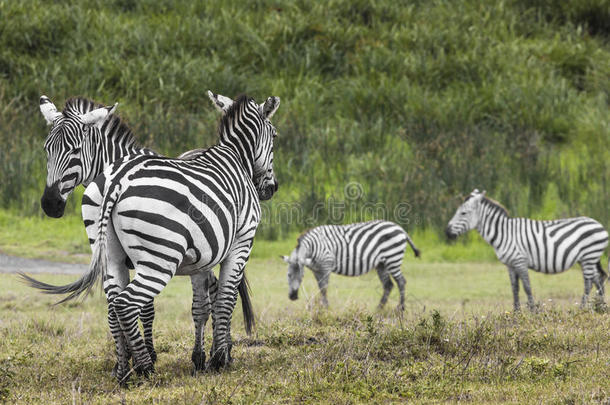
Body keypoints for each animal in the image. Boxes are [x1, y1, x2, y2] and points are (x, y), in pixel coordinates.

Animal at [23, 93, 280, 384]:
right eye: (47, 149)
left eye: (75, 150)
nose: (50, 204)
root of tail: (117, 180)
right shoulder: (241, 240)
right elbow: (220, 299)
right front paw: (157, 359)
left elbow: (163, 307)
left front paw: (147, 356)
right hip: (166, 257)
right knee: (130, 304)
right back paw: (149, 366)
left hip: (145, 256)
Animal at [280, 219, 418, 308]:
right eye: (288, 275)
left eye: (301, 276)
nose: (293, 297)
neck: (314, 247)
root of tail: (401, 229)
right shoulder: (316, 270)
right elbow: (320, 288)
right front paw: (322, 307)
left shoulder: (326, 266)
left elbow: (324, 288)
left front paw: (326, 308)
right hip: (382, 264)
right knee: (388, 285)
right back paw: (378, 309)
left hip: (393, 258)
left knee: (401, 282)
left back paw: (400, 308)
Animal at [442, 189, 608, 310]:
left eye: (463, 213)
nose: (447, 232)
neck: (504, 233)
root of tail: (600, 225)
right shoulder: (510, 265)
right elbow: (515, 289)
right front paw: (516, 313)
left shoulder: (520, 261)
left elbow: (527, 287)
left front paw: (533, 311)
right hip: (586, 259)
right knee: (598, 279)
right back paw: (600, 307)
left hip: (588, 256)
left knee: (588, 283)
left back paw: (582, 309)